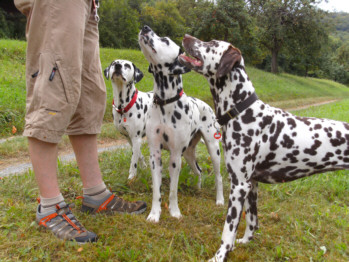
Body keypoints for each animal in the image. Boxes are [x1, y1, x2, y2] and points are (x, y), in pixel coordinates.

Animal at [137, 25, 224, 223]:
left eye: (166, 40)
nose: (145, 27)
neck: (165, 103)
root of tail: (206, 105)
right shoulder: (155, 155)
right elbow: (157, 190)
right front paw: (154, 214)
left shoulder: (175, 157)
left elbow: (173, 190)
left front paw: (175, 212)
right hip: (189, 153)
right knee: (198, 170)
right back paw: (198, 188)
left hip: (213, 150)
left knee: (219, 177)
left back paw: (220, 200)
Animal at [178, 34, 348, 262]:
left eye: (212, 43)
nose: (186, 36)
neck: (243, 111)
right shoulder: (251, 184)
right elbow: (252, 221)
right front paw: (242, 243)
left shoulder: (239, 185)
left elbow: (228, 229)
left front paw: (220, 255)